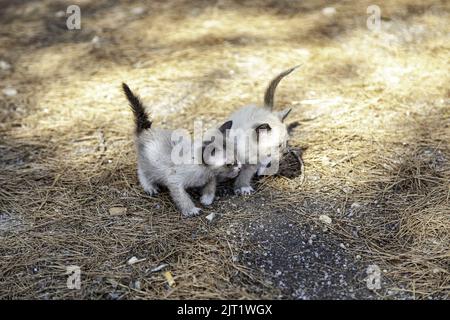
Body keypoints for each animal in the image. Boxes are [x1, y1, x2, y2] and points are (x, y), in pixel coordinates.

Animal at [122, 83, 243, 218]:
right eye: (229, 164)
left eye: (237, 157)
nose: (240, 167)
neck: (203, 171)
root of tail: (147, 130)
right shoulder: (174, 181)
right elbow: (182, 198)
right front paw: (191, 210)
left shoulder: (211, 176)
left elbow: (211, 186)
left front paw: (206, 198)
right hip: (148, 164)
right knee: (142, 171)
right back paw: (150, 187)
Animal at [224, 65, 298, 195]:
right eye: (279, 145)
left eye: (287, 142)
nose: (286, 152)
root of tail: (264, 110)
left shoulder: (253, 163)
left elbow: (245, 173)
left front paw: (242, 187)